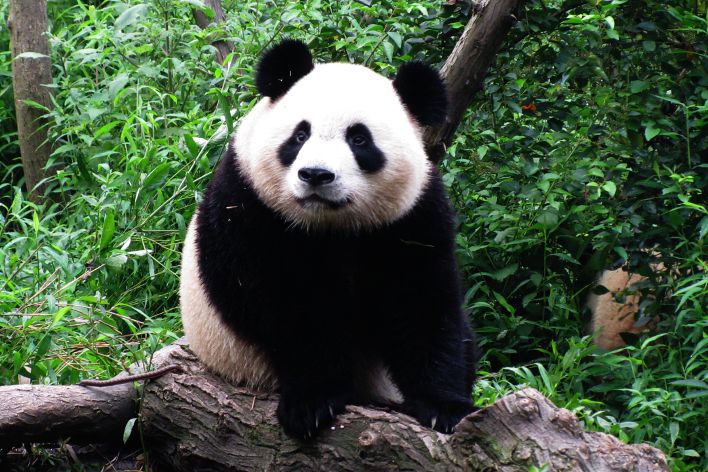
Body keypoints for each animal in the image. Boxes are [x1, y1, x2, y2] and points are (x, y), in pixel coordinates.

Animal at [180, 39, 478, 440]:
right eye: (300, 135)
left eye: (359, 139)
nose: (316, 175)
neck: (330, 226)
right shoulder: (248, 206)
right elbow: (284, 308)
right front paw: (313, 401)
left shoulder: (412, 217)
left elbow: (424, 305)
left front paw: (444, 407)